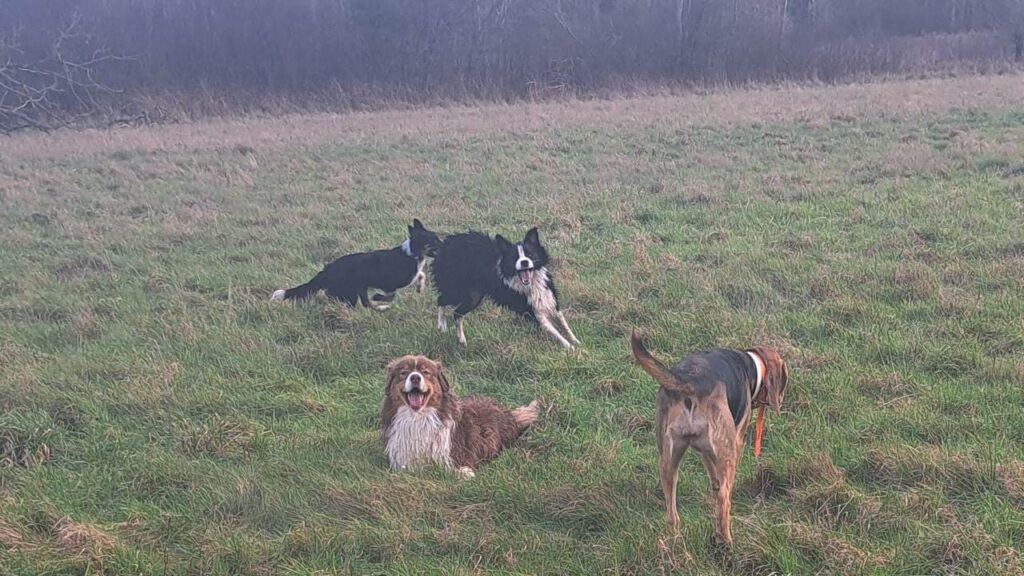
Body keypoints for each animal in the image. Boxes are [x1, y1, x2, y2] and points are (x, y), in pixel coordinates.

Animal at [270, 217, 442, 307]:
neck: (412, 253)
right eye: (434, 240)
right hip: (349, 292)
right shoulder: (392, 282)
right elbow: (390, 294)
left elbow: (420, 275)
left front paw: (420, 287)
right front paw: (379, 298)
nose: (445, 242)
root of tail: (326, 270)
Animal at [376, 354, 536, 475]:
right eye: (404, 373)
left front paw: (465, 473)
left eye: (426, 372)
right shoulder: (402, 463)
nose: (415, 377)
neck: (418, 418)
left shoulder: (449, 458)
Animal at [428, 226, 581, 348]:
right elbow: (556, 333)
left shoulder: (550, 301)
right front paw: (570, 348)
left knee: (457, 313)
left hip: (473, 297)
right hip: (458, 289)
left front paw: (576, 341)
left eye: (530, 254)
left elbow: (564, 325)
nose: (524, 262)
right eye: (515, 258)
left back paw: (462, 340)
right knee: (441, 300)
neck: (531, 284)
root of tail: (445, 245)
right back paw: (441, 326)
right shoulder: (534, 313)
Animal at [626, 330, 786, 545]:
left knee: (671, 512)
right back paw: (725, 540)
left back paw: (675, 539)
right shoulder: (736, 441)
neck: (752, 365)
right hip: (727, 453)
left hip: (667, 461)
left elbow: (713, 476)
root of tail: (688, 382)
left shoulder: (705, 451)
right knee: (724, 501)